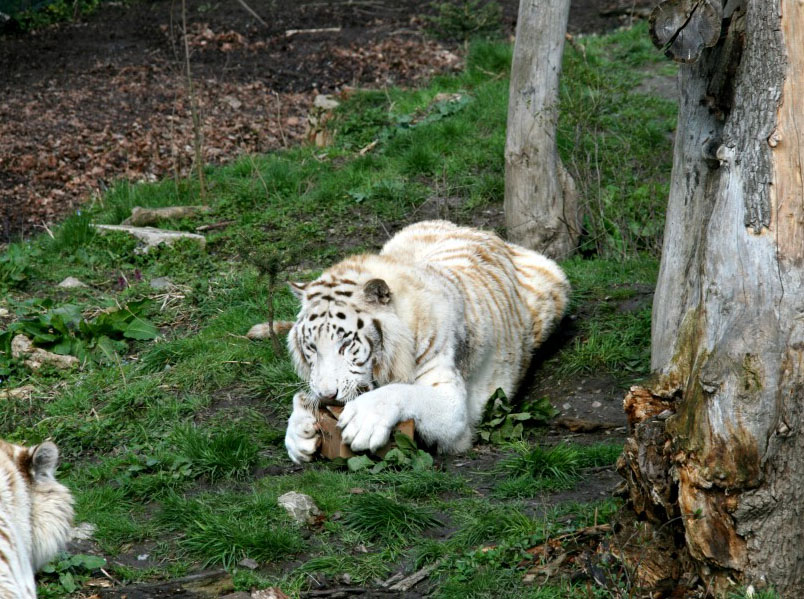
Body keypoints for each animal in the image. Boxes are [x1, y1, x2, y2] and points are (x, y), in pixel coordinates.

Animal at [282, 220, 564, 464]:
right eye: (311, 347)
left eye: (345, 344)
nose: (327, 395)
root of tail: (481, 230)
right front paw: (298, 433)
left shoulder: (454, 406)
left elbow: (404, 391)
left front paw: (363, 420)